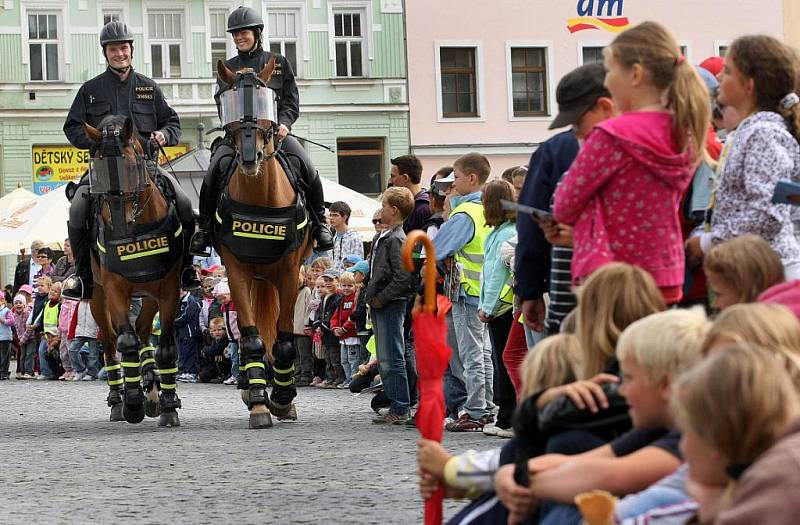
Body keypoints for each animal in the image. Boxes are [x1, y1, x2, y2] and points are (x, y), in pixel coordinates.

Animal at [85, 114, 184, 426]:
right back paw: (120, 400)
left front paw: (168, 406)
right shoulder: (115, 290)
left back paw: (152, 389)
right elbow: (125, 341)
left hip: (149, 295)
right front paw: (132, 403)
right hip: (97, 299)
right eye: (98, 169)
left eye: (131, 165)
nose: (119, 223)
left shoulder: (168, 289)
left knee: (143, 331)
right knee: (110, 344)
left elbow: (165, 347)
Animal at [214, 60, 310, 430]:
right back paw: (247, 385)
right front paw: (258, 402)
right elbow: (252, 337)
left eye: (264, 100)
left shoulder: (289, 274)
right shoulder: (237, 272)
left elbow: (283, 341)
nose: (249, 157)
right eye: (230, 105)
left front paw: (283, 399)